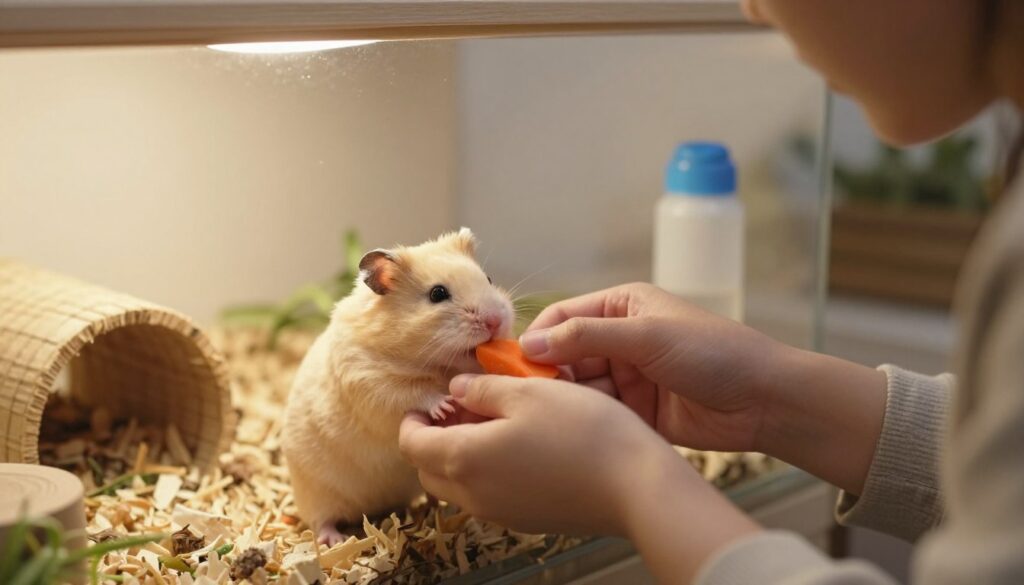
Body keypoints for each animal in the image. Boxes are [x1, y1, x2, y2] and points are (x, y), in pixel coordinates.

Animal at [281, 228, 514, 546]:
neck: (436, 366)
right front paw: (444, 405)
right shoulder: (369, 383)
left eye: (488, 279)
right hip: (316, 493)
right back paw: (337, 541)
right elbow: (410, 394)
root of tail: (373, 508)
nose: (496, 322)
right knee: (321, 522)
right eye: (437, 294)